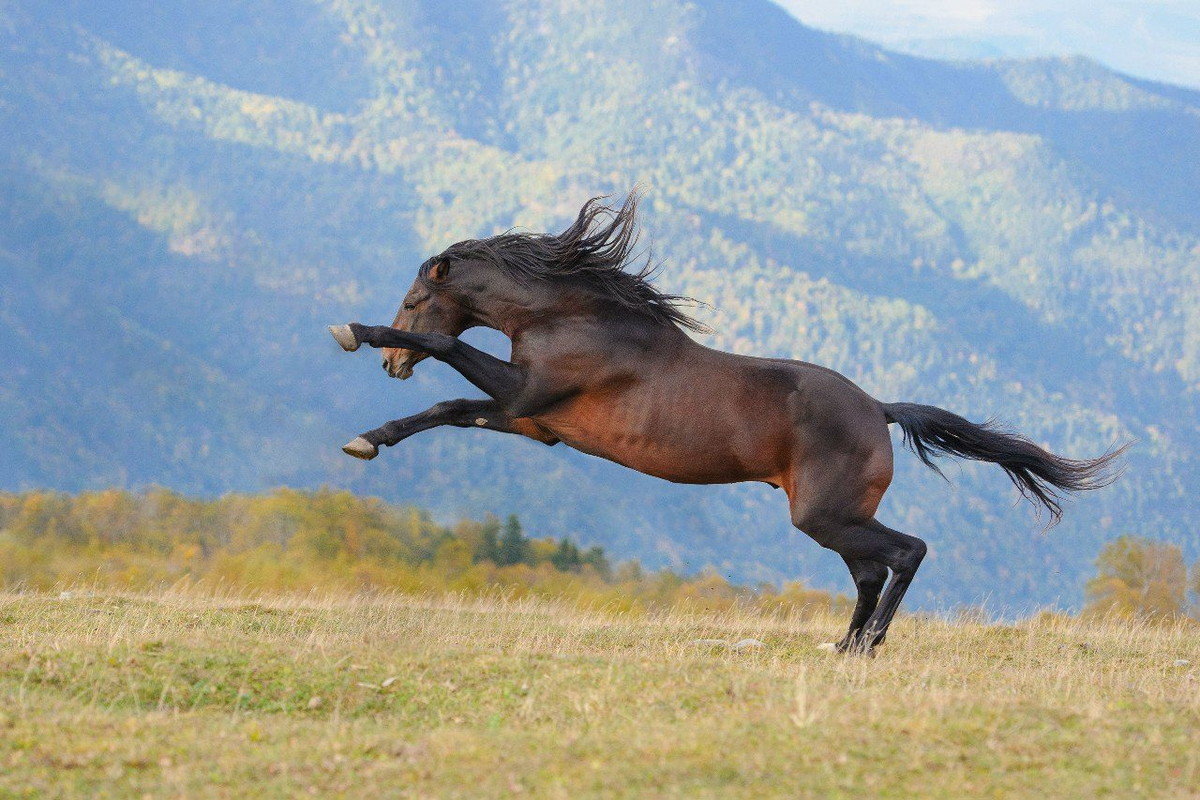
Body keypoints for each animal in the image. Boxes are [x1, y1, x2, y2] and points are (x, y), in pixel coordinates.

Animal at [328, 195, 1123, 657]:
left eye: (412, 300)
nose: (392, 363)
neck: (575, 316)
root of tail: (879, 409)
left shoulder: (525, 391)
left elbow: (448, 351)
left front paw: (353, 333)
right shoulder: (535, 420)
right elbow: (445, 412)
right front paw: (368, 439)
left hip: (826, 515)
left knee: (908, 552)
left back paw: (867, 647)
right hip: (832, 518)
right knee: (873, 568)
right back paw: (846, 648)